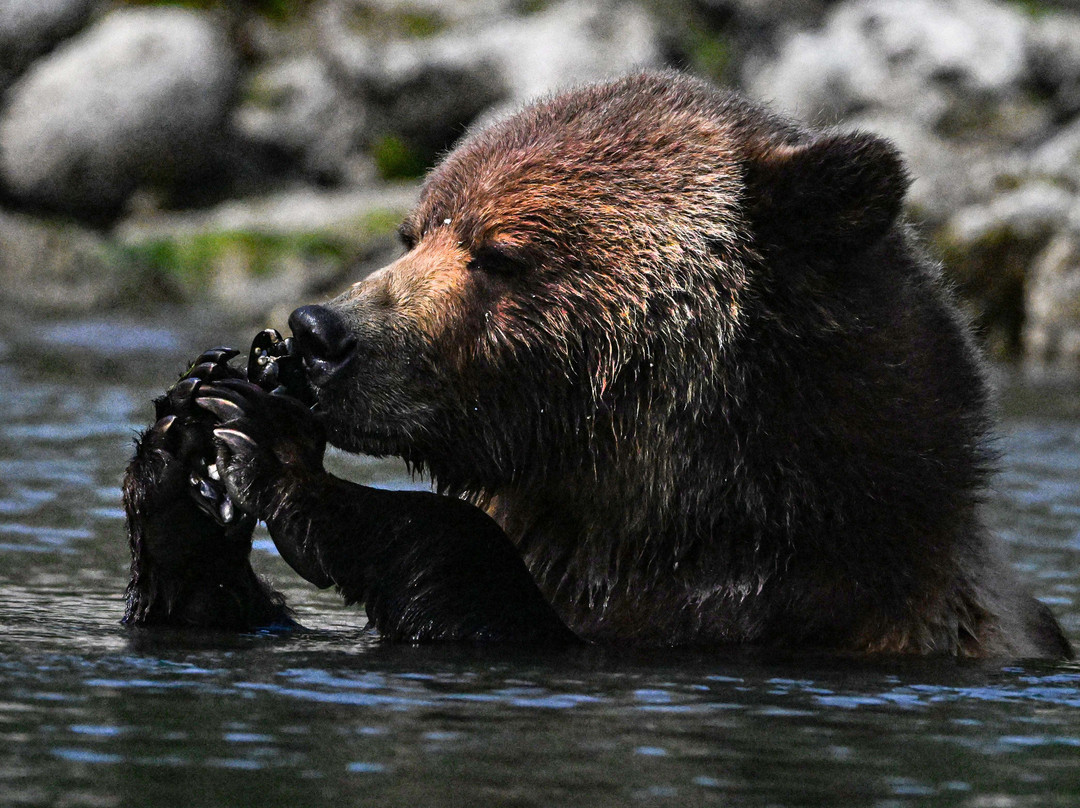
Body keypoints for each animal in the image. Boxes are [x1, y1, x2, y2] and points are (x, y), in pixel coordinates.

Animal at [123, 70, 1072, 658]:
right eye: (413, 230)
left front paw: (272, 450)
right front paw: (180, 453)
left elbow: (476, 592)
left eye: (498, 253)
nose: (320, 329)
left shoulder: (775, 605)